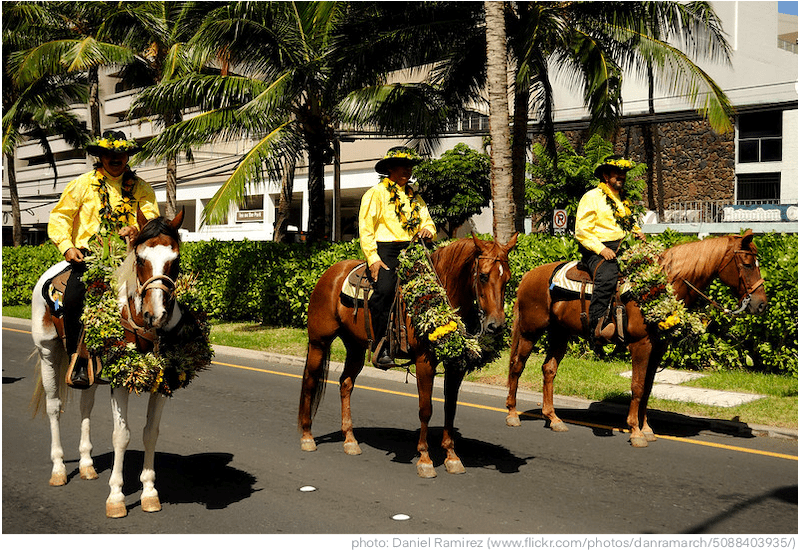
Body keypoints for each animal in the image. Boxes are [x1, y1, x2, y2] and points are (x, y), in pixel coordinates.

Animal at [30, 211, 183, 520]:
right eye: (140, 259)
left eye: (175, 261)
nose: (156, 315)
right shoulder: (121, 381)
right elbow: (121, 436)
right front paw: (116, 498)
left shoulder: (162, 383)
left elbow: (151, 433)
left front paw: (150, 492)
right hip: (48, 352)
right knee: (54, 407)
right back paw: (59, 469)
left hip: (86, 369)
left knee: (85, 407)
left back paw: (87, 465)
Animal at [296, 234, 516, 480]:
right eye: (483, 276)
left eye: (507, 278)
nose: (496, 325)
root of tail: (331, 272)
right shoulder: (424, 362)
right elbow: (426, 409)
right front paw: (425, 459)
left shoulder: (455, 365)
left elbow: (450, 408)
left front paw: (452, 456)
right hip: (319, 342)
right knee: (310, 381)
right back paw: (307, 436)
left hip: (355, 347)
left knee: (346, 384)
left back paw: (350, 440)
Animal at [506, 232, 768, 450]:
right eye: (747, 264)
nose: (761, 304)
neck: (662, 284)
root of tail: (528, 275)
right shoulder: (641, 345)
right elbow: (638, 386)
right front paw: (635, 431)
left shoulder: (658, 347)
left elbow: (648, 388)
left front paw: (647, 428)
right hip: (530, 331)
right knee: (517, 366)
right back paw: (512, 414)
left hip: (560, 332)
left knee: (548, 369)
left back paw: (553, 418)